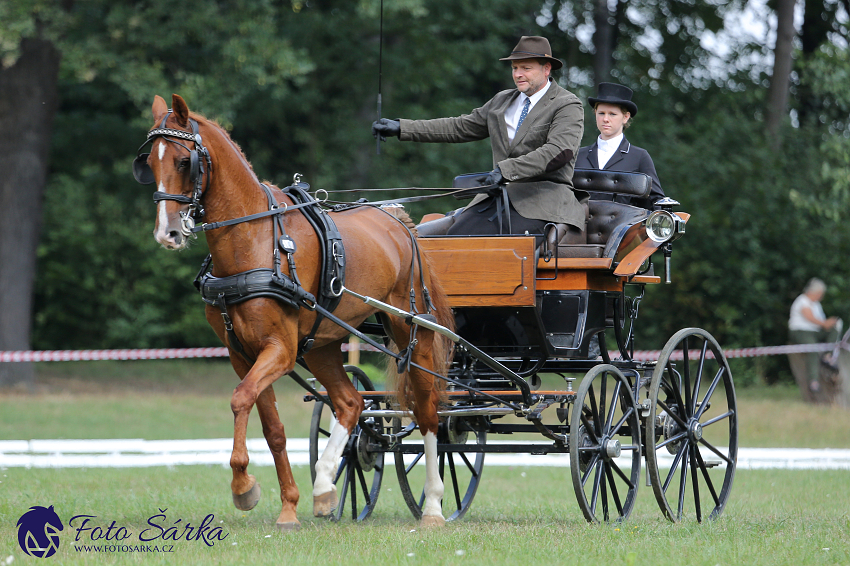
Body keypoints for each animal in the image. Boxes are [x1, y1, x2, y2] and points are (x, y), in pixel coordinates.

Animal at [142, 94, 454, 532]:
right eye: (149, 163)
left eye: (185, 161)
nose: (166, 232)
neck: (253, 242)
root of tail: (399, 222)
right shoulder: (242, 354)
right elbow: (272, 426)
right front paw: (288, 506)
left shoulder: (280, 349)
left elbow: (240, 399)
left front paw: (243, 487)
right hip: (322, 345)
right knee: (350, 403)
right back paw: (324, 485)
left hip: (412, 330)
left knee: (428, 412)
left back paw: (433, 507)